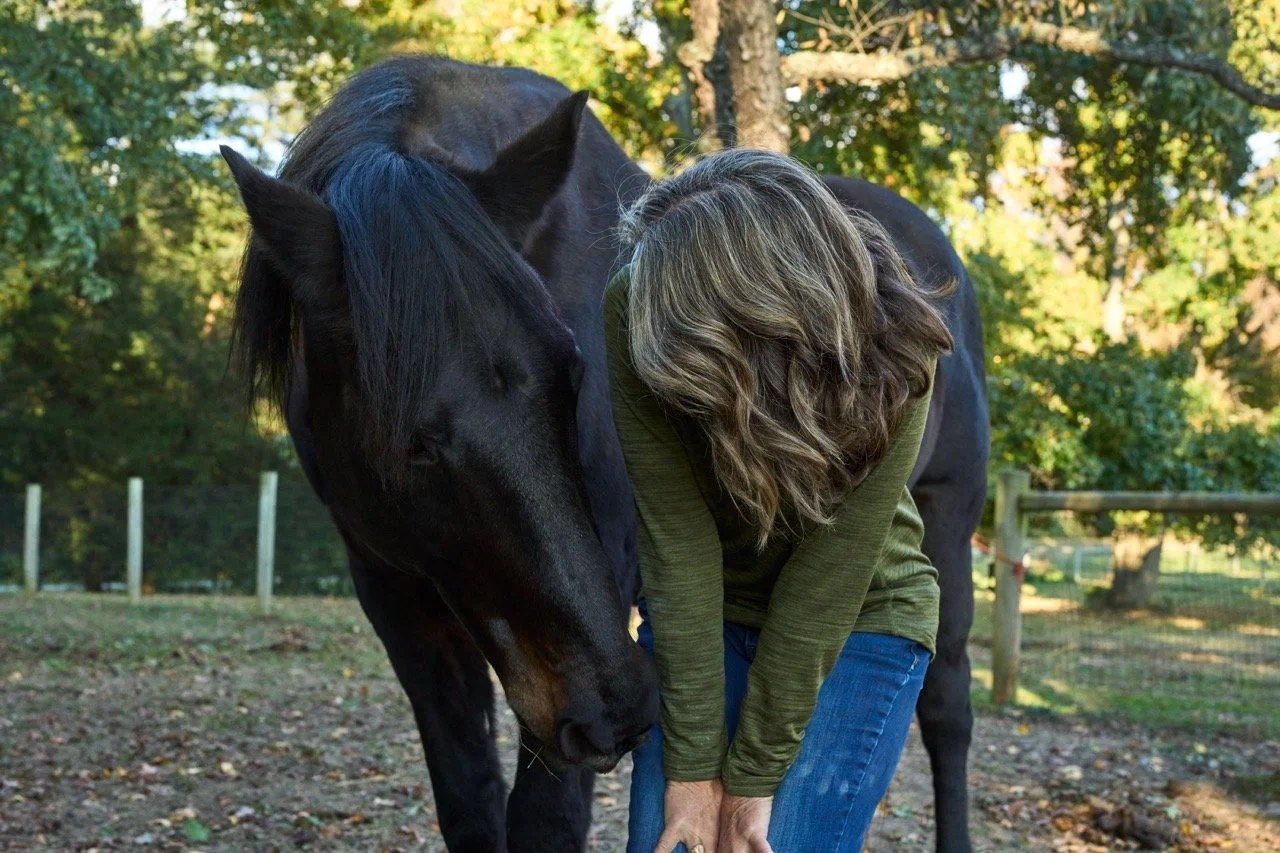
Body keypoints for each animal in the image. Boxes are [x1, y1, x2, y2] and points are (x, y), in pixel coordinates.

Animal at [223, 55, 987, 853]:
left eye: (573, 372)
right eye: (412, 442)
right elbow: (469, 799)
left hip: (947, 528)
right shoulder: (400, 603)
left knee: (946, 705)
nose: (616, 709)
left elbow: (545, 819)